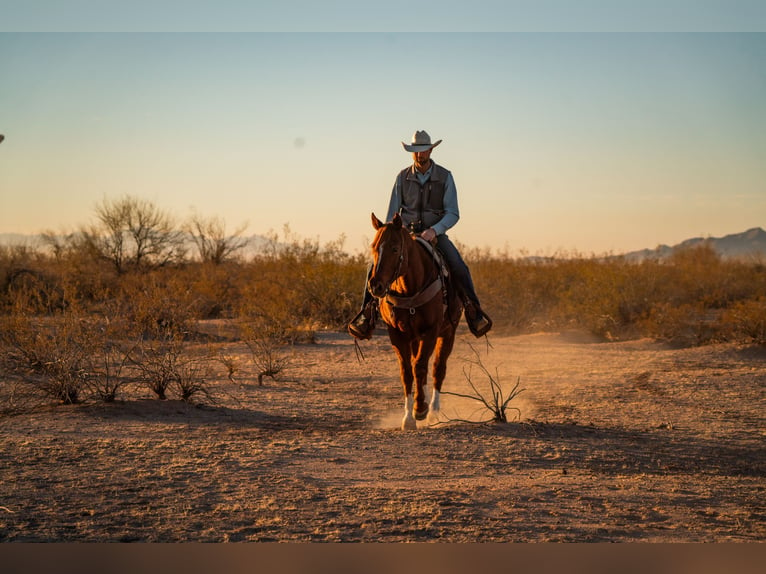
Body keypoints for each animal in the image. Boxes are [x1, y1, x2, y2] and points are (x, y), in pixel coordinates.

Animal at [370, 214, 464, 430]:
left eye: (395, 248)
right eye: (373, 247)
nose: (375, 285)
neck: (409, 289)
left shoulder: (431, 331)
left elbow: (421, 366)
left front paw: (420, 409)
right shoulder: (397, 334)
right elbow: (407, 371)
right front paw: (408, 417)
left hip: (448, 332)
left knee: (437, 367)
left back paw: (433, 410)